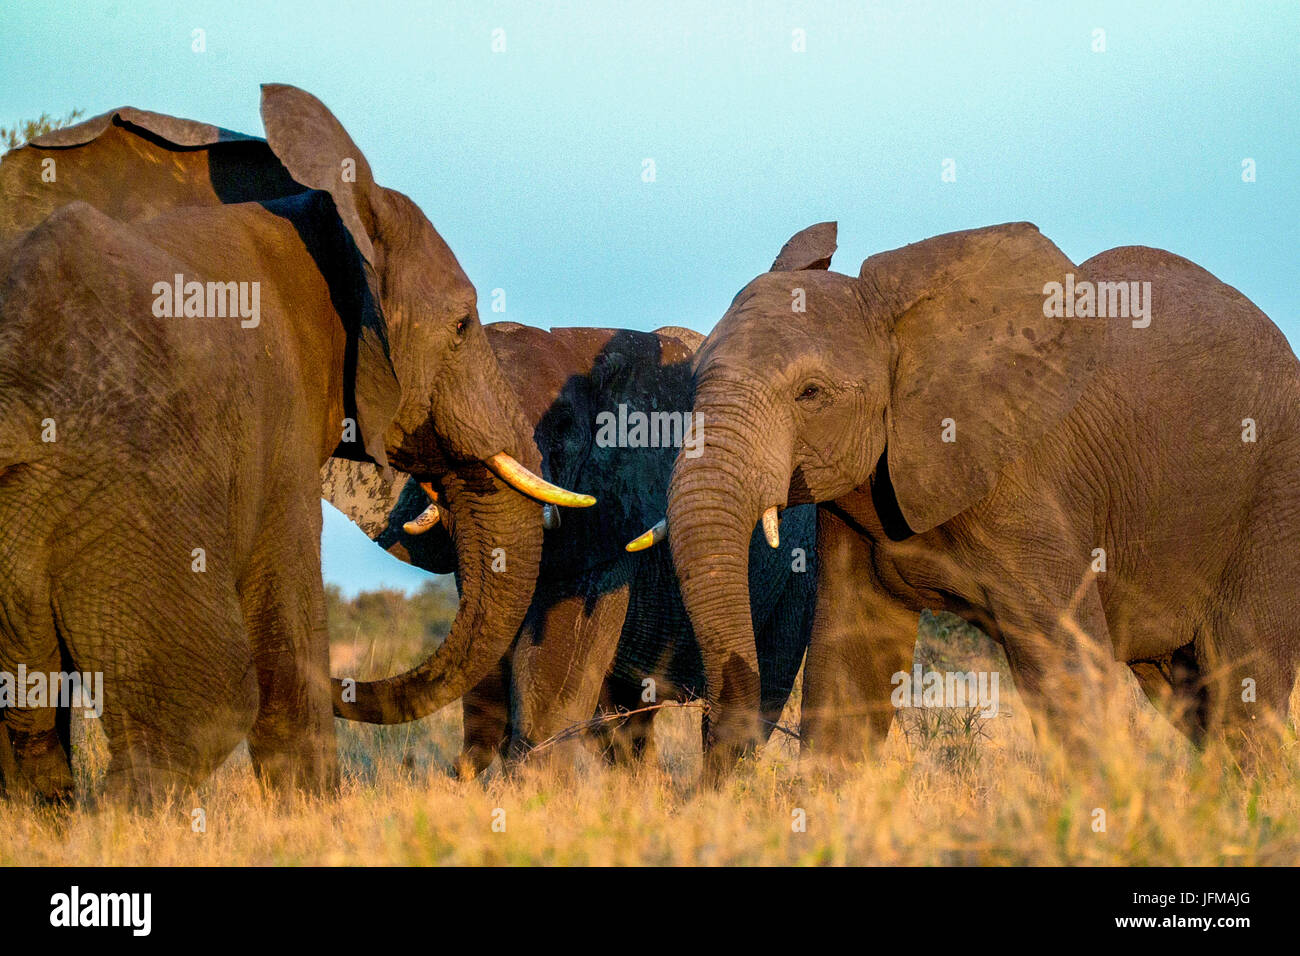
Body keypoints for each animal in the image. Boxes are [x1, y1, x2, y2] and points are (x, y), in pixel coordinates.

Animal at [0, 87, 590, 806]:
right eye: (460, 327)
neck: (330, 224)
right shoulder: (275, 412)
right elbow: (286, 596)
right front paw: (314, 812)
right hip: (123, 493)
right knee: (202, 706)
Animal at [650, 218, 1300, 780]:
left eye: (811, 394)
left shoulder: (1026, 485)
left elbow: (1068, 665)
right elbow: (849, 662)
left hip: (1273, 494)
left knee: (1243, 683)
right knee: (1185, 693)